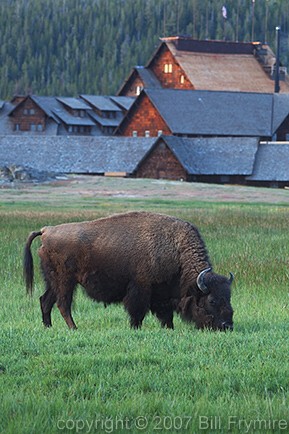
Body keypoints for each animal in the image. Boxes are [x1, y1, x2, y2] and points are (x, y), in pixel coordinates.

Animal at [23, 212, 233, 330]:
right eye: (212, 300)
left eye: (228, 297)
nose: (227, 326)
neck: (176, 249)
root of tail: (46, 231)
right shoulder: (140, 289)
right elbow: (137, 312)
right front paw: (135, 328)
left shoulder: (162, 295)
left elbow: (166, 315)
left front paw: (169, 329)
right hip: (66, 281)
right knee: (63, 304)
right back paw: (74, 328)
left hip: (52, 281)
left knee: (45, 300)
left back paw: (48, 327)